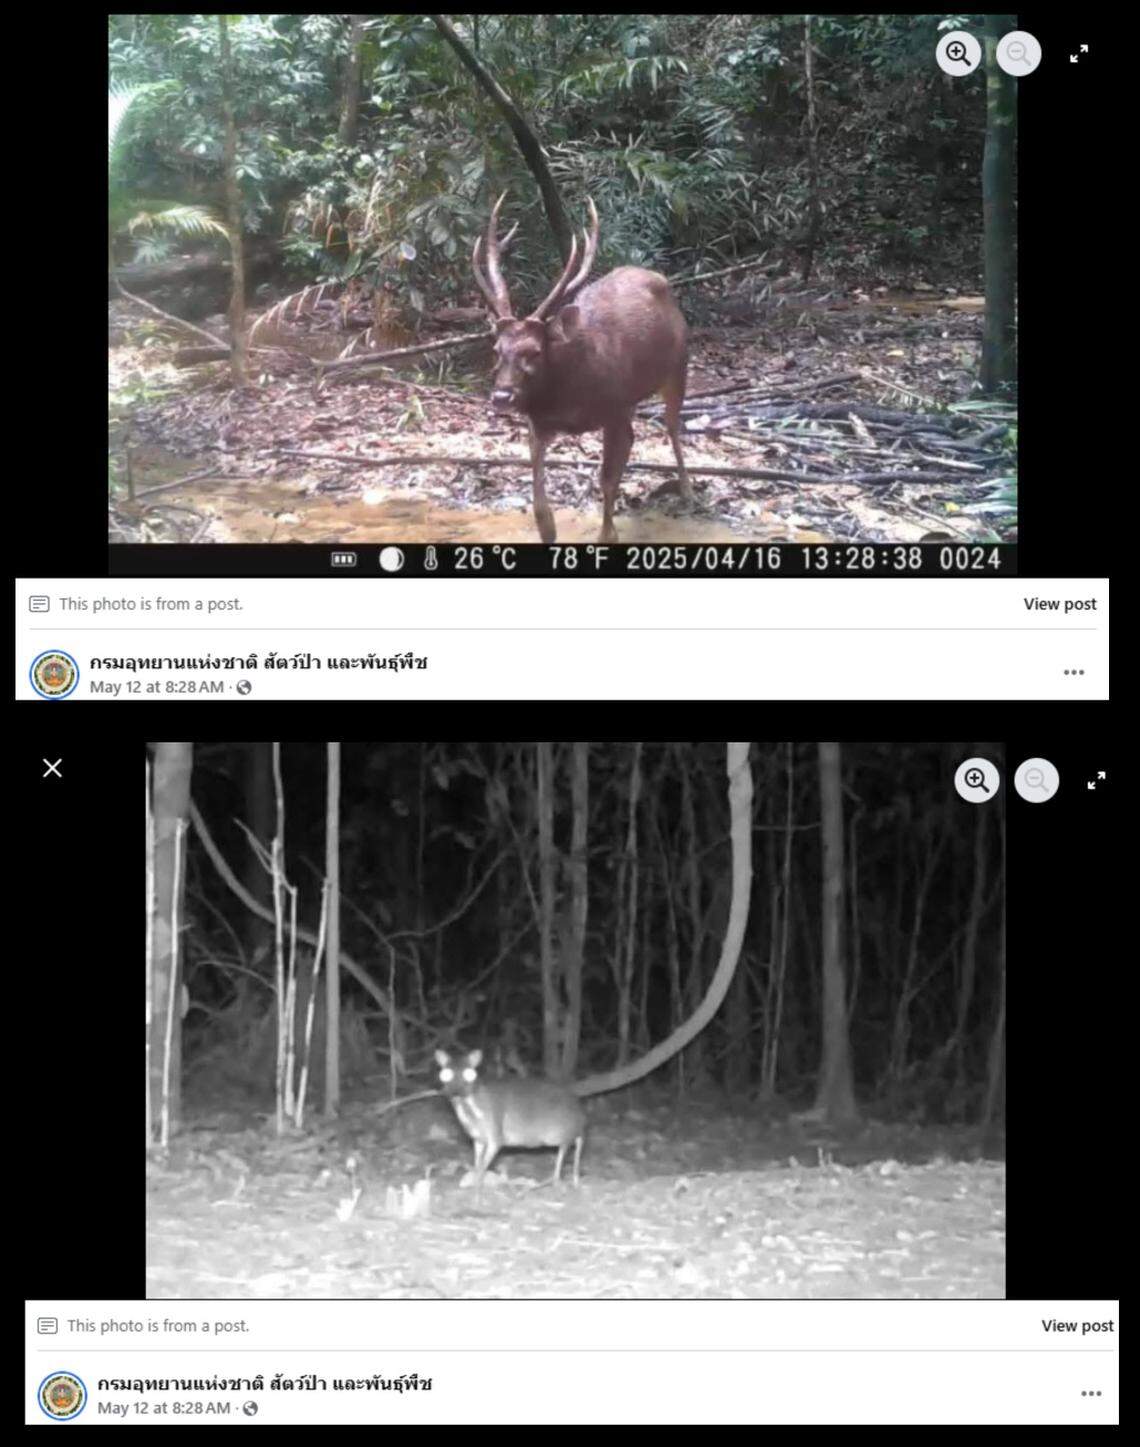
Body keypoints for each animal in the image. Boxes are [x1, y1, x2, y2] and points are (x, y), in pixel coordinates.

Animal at [472, 193, 691, 545]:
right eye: (497, 350)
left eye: (534, 351)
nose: (502, 396)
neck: (570, 395)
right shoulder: (539, 421)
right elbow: (539, 500)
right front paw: (549, 529)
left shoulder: (614, 409)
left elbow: (607, 479)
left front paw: (608, 534)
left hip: (679, 364)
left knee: (672, 426)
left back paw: (687, 490)